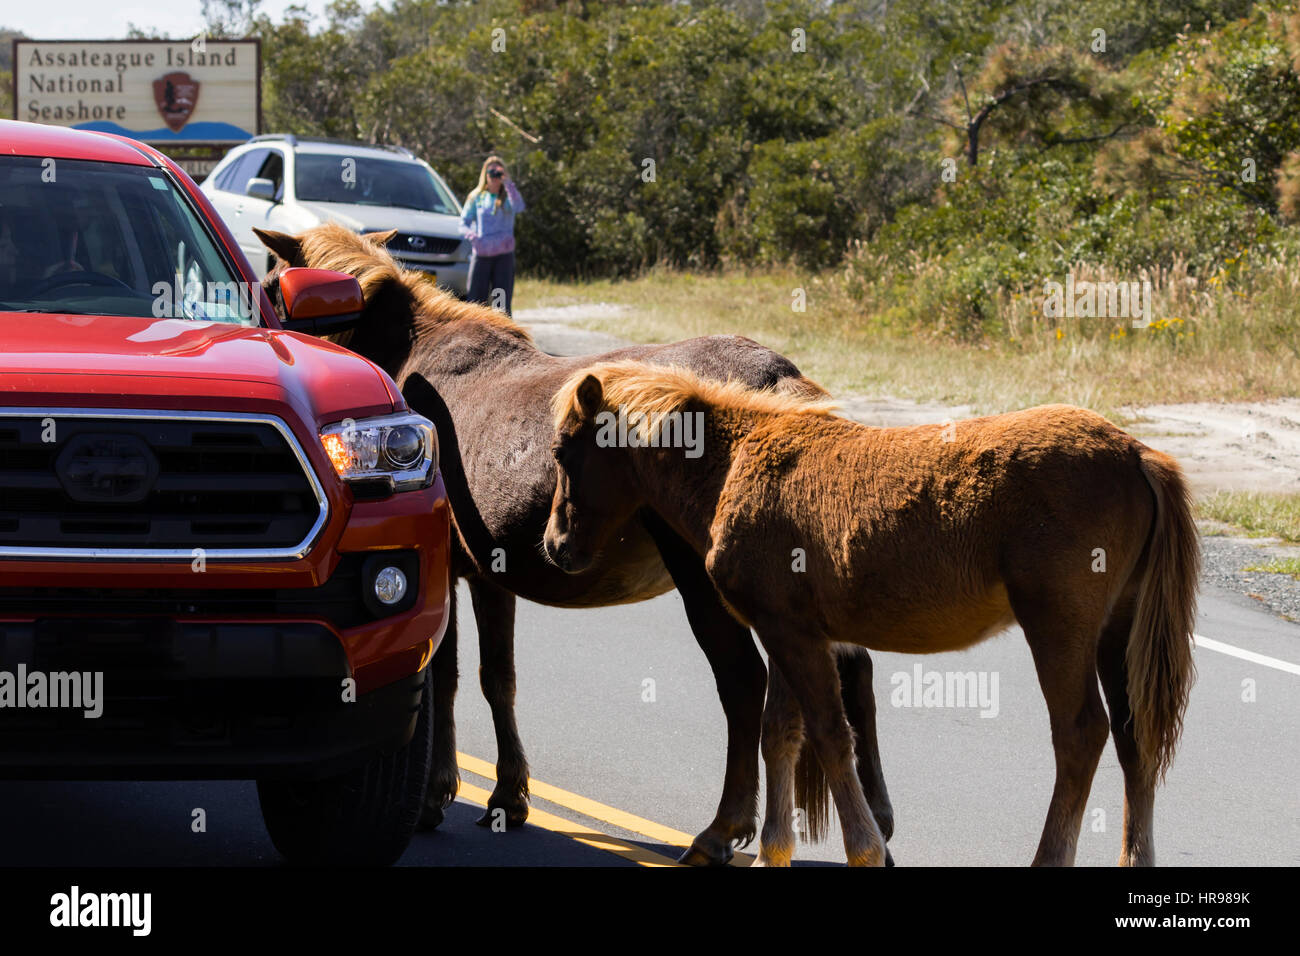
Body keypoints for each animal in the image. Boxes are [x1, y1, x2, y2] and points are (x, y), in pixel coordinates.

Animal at [252, 223, 894, 868]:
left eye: (270, 284)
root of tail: (778, 376)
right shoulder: (488, 575)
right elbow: (496, 678)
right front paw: (508, 795)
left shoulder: (452, 574)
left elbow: (452, 678)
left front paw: (441, 792)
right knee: (851, 672)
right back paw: (879, 823)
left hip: (712, 584)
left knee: (744, 684)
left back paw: (722, 829)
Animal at [546, 361, 1196, 868]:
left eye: (562, 452)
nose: (556, 547)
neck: (734, 465)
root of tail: (1138, 452)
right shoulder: (787, 631)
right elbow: (781, 736)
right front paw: (774, 850)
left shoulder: (793, 635)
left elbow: (833, 736)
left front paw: (864, 848)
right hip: (1117, 630)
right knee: (1134, 738)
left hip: (1059, 627)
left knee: (1081, 735)